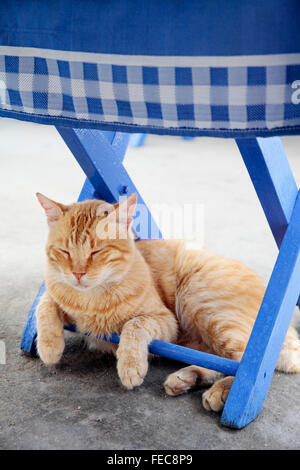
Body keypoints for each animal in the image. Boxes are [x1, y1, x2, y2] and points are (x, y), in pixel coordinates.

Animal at [35, 191, 300, 412]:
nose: (77, 274)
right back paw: (186, 379)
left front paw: (130, 365)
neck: (91, 299)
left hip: (202, 307)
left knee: (242, 364)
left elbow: (133, 325)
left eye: (96, 252)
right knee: (217, 360)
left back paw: (221, 392)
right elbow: (44, 306)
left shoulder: (165, 322)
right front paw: (49, 347)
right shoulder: (54, 294)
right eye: (64, 252)